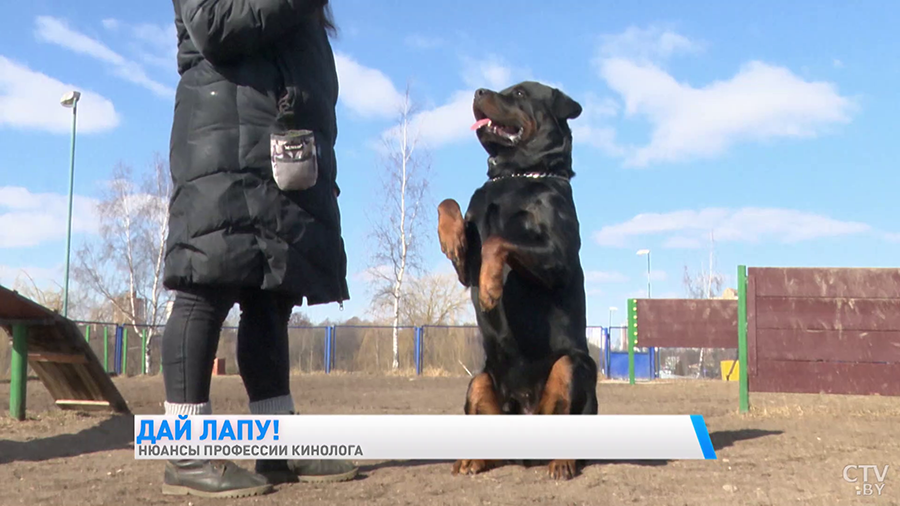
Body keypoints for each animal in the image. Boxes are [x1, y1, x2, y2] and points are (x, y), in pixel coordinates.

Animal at [436, 81, 596, 480]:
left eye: (521, 93)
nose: (478, 91)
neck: (514, 178)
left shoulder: (557, 258)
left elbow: (499, 241)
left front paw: (492, 288)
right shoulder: (465, 268)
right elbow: (450, 204)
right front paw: (451, 236)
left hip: (573, 365)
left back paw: (562, 462)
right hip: (479, 380)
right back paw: (472, 459)